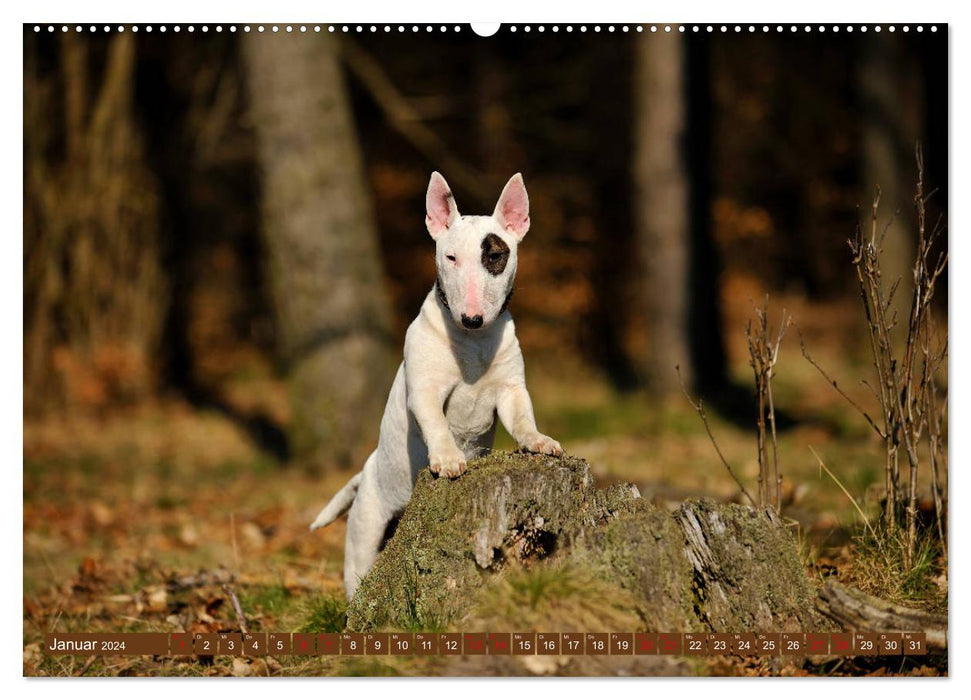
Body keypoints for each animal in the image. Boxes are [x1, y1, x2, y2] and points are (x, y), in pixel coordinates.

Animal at [312, 172, 564, 600]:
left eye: (494, 257)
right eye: (450, 258)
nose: (472, 318)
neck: (473, 345)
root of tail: (366, 471)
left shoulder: (511, 389)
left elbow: (522, 417)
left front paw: (538, 441)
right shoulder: (425, 391)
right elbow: (436, 423)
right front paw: (448, 459)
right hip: (364, 533)